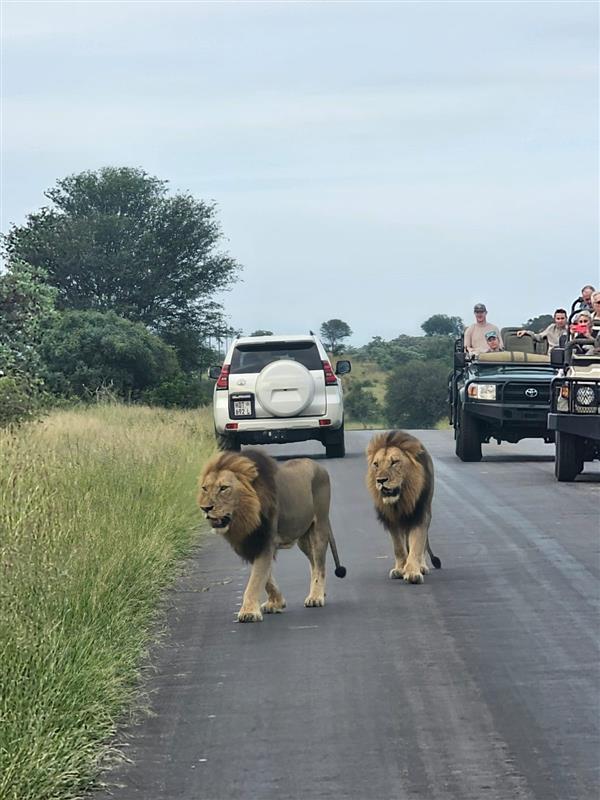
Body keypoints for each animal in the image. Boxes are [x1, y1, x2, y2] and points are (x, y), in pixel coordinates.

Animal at [198, 448, 346, 623]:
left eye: (223, 488)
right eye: (204, 488)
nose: (205, 508)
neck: (245, 517)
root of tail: (319, 466)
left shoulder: (265, 542)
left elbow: (255, 580)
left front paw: (249, 612)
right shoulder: (251, 543)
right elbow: (266, 578)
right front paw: (276, 603)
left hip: (319, 527)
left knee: (320, 564)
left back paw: (315, 597)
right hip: (303, 537)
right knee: (314, 562)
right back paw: (319, 592)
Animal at [366, 430, 441, 583]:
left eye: (394, 462)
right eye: (376, 464)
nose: (381, 480)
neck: (401, 500)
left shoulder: (420, 515)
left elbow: (417, 544)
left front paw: (412, 572)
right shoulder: (392, 520)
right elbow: (399, 547)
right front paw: (401, 569)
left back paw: (422, 566)